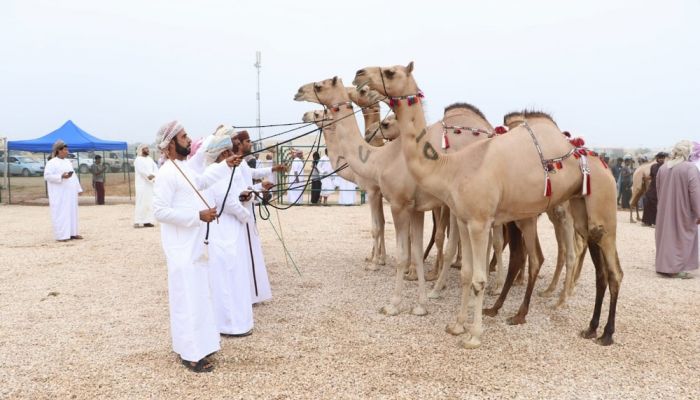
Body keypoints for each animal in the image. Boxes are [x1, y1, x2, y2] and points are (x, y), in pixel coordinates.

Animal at [300, 108, 388, 268]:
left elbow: (376, 227)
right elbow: (382, 223)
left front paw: (374, 263)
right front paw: (379, 258)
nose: (304, 115)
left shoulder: (373, 191)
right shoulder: (378, 194)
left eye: (317, 113)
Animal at [356, 62, 624, 346]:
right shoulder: (463, 220)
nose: (360, 75)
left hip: (601, 209)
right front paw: (457, 325)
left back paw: (605, 333)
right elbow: (465, 273)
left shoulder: (479, 223)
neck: (450, 168)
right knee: (592, 262)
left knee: (613, 270)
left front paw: (473, 335)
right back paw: (588, 328)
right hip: (579, 208)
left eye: (390, 72)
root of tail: (601, 161)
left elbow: (479, 278)